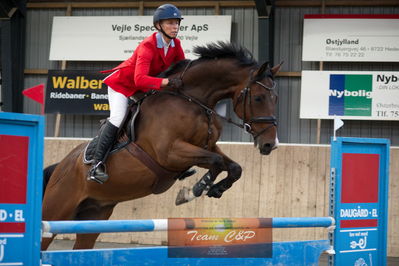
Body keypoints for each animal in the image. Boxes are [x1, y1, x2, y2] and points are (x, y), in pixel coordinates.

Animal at [41, 42, 282, 250]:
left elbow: (232, 167)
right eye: (259, 98)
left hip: (94, 213)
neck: (192, 100)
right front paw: (194, 190)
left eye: (275, 98)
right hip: (55, 212)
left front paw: (215, 189)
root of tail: (60, 167)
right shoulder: (170, 153)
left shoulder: (205, 147)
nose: (270, 144)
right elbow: (216, 162)